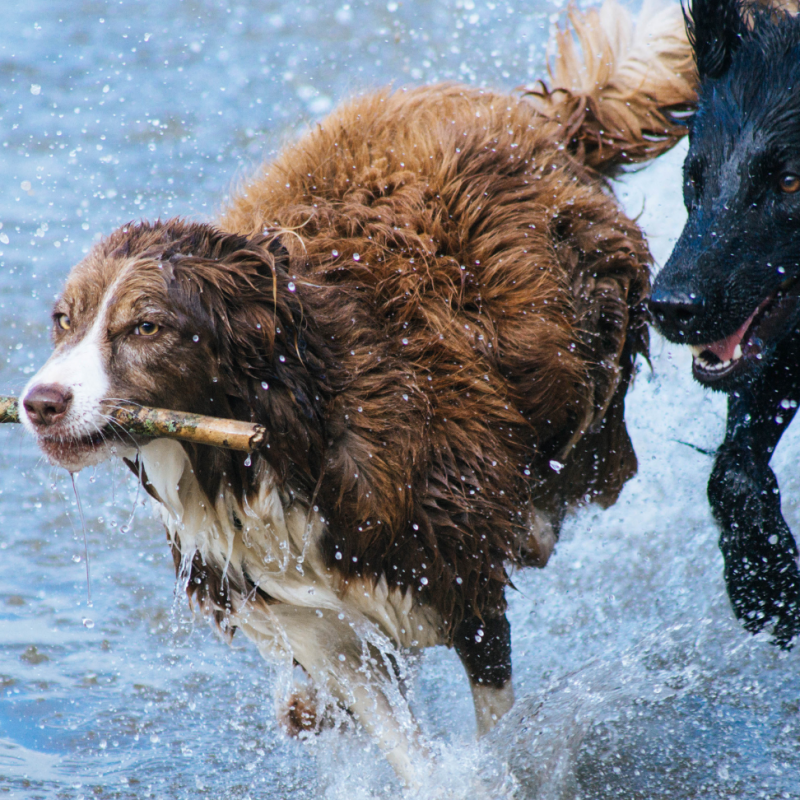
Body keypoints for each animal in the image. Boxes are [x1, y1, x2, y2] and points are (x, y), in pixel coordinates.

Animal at [18, 0, 692, 784]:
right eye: (63, 321)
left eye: (146, 327)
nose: (39, 403)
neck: (270, 439)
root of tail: (549, 121)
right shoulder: (318, 622)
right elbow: (396, 735)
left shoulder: (459, 575)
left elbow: (494, 721)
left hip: (588, 344)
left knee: (589, 451)